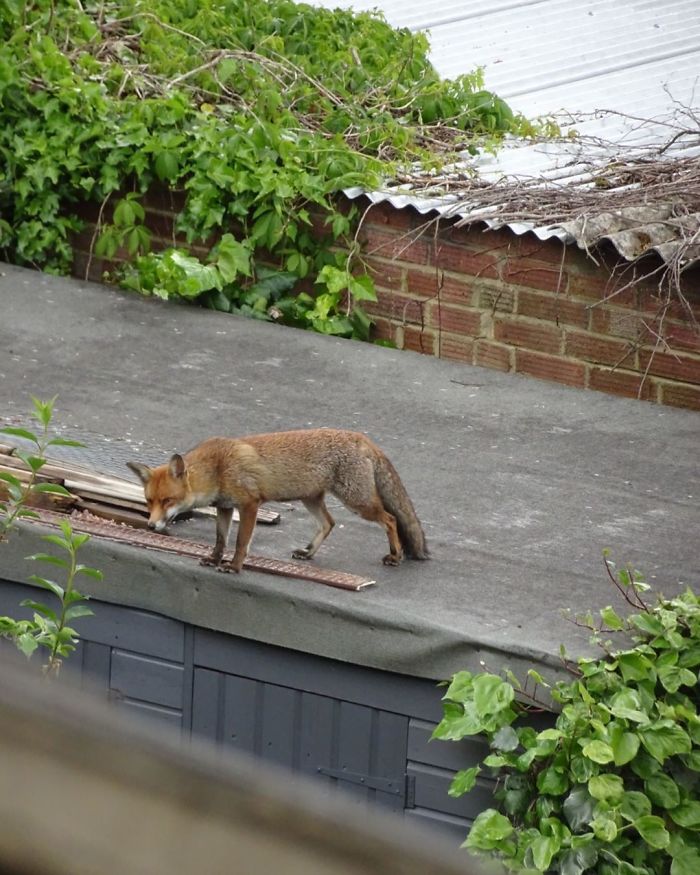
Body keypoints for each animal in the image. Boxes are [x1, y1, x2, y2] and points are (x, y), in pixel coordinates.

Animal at [127, 429, 429, 573]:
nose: (151, 526)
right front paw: (213, 559)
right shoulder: (225, 507)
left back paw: (396, 555)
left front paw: (234, 567)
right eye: (149, 502)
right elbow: (220, 540)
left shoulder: (249, 504)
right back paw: (308, 553)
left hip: (357, 501)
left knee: (390, 519)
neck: (218, 467)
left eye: (168, 500)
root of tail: (361, 437)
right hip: (311, 499)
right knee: (329, 523)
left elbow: (240, 543)